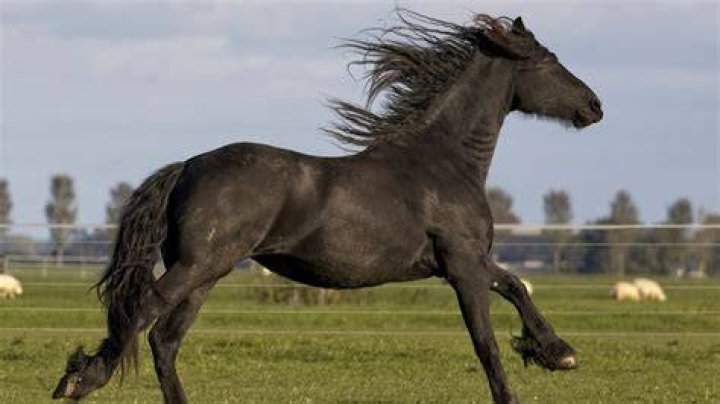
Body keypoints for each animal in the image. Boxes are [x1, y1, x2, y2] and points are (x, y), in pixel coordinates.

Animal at [53, 10, 602, 403]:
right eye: (549, 61)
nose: (594, 106)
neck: (443, 162)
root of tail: (187, 166)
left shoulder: (460, 262)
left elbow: (515, 286)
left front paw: (556, 352)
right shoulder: (462, 265)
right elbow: (486, 339)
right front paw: (541, 365)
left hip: (206, 273)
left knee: (164, 339)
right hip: (197, 266)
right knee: (143, 314)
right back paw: (79, 381)